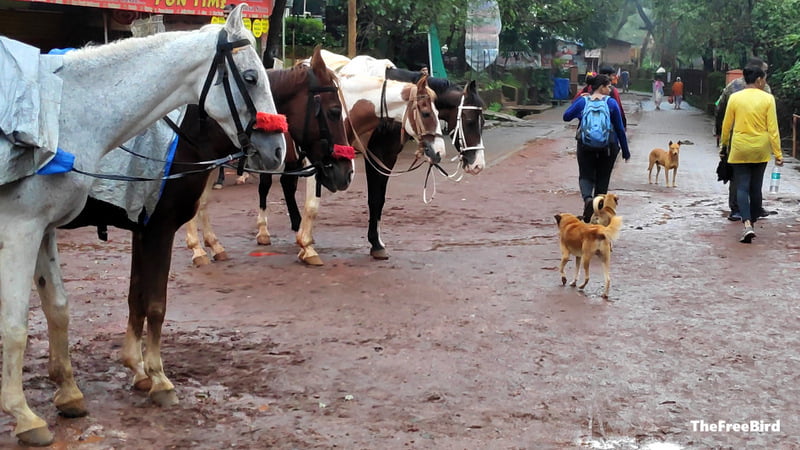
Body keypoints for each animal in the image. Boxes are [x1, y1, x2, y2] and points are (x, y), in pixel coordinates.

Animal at [0, 4, 286, 446]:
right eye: (252, 77)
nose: (278, 151)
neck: (65, 113)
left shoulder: (51, 229)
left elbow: (64, 307)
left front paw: (73, 390)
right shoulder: (24, 229)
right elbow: (19, 325)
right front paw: (25, 415)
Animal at [61, 47, 348, 406]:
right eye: (334, 111)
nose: (346, 172)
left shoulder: (143, 229)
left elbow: (136, 297)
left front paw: (136, 368)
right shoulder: (158, 229)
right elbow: (155, 303)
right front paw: (158, 377)